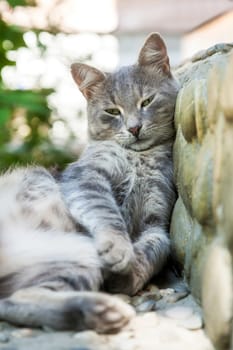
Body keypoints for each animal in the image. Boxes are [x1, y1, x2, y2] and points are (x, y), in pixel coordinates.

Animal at [0, 34, 178, 332]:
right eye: (112, 111)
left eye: (147, 101)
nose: (134, 128)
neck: (139, 160)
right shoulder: (85, 176)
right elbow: (107, 213)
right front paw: (118, 248)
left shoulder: (156, 220)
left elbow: (158, 248)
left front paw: (129, 273)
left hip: (72, 260)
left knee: (14, 300)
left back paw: (101, 310)